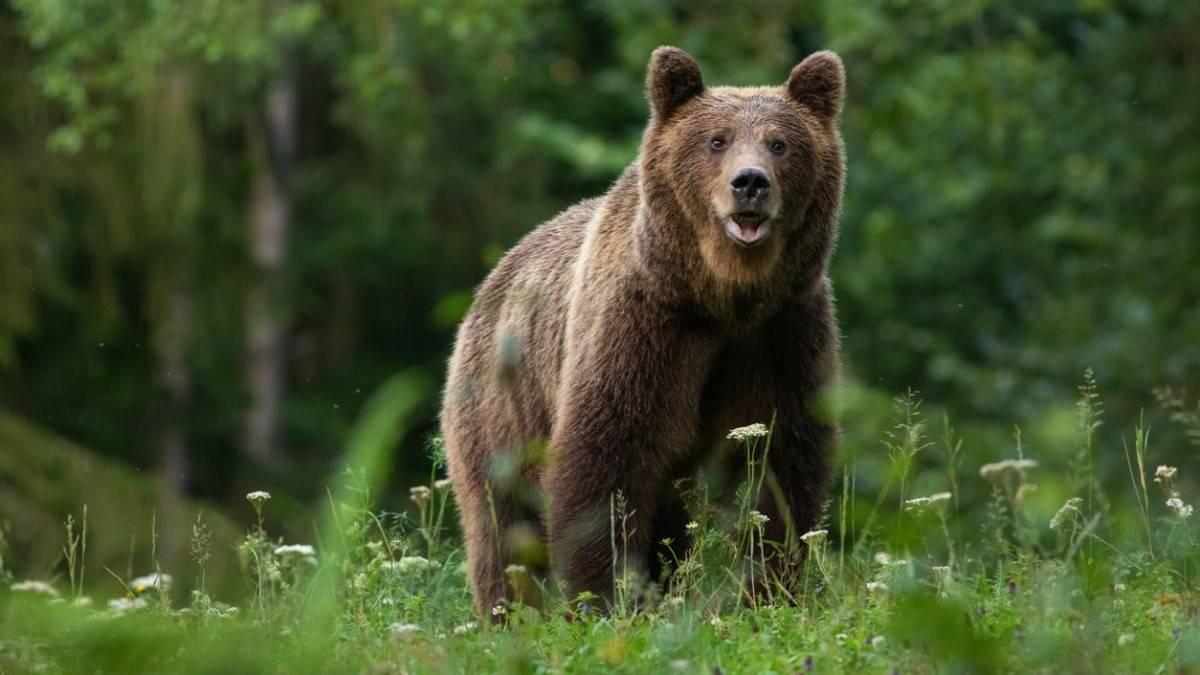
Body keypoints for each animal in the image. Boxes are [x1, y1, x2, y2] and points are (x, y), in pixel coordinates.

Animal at [441, 44, 844, 619]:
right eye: (716, 140)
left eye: (780, 143)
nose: (750, 182)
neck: (722, 296)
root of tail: (493, 278)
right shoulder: (645, 326)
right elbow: (608, 456)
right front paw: (605, 597)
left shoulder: (783, 331)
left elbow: (782, 461)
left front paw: (766, 590)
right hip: (501, 407)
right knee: (502, 523)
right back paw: (510, 613)